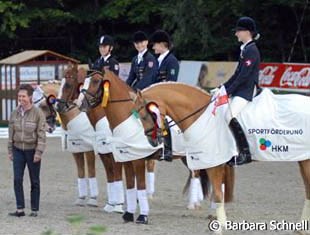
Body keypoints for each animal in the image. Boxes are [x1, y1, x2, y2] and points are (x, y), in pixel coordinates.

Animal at [81, 69, 234, 224]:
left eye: (95, 81)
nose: (81, 104)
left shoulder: (137, 160)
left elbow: (140, 185)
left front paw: (142, 216)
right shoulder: (126, 159)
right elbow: (130, 185)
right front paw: (128, 214)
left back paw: (206, 209)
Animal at [133, 81, 310, 230]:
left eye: (145, 116)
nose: (152, 141)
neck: (202, 117)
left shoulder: (214, 162)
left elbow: (218, 194)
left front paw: (221, 224)